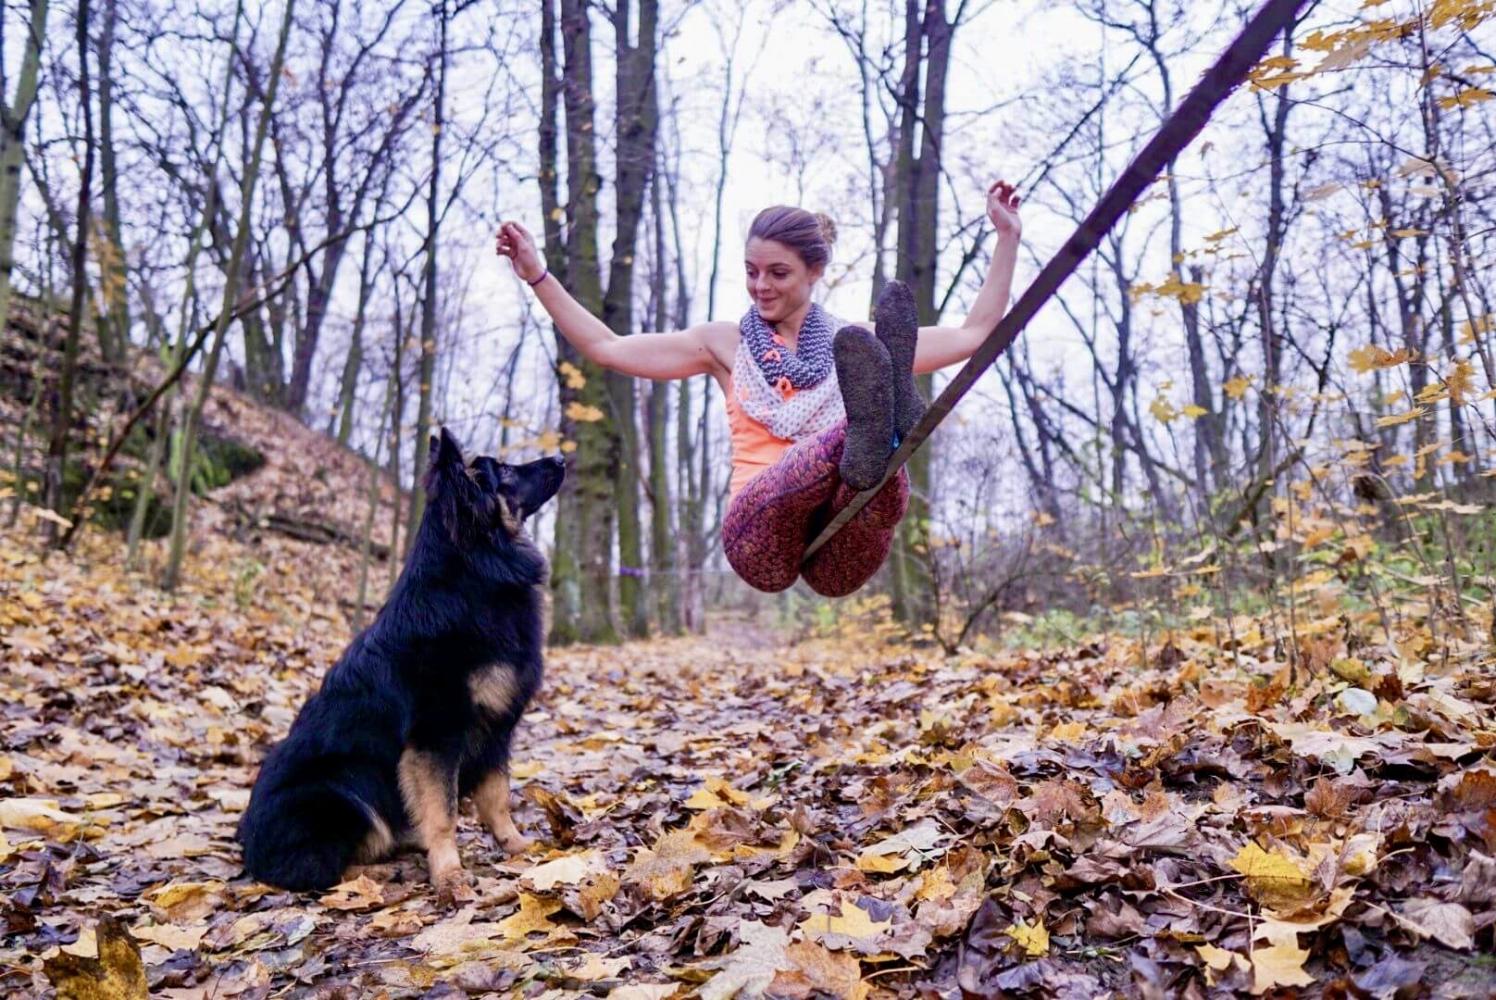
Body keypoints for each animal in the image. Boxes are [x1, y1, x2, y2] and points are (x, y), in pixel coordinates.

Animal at [239, 425, 565, 892]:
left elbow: (497, 797)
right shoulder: (437, 736)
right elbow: (444, 811)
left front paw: (517, 847)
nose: (560, 459)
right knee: (321, 869)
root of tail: (248, 851)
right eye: (503, 470)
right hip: (345, 791)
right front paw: (449, 873)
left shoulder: (496, 729)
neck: (472, 573)